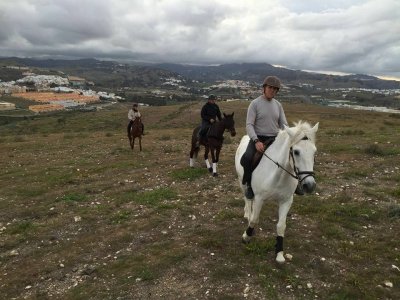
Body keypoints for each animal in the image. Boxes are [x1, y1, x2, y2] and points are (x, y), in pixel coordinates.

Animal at [234, 120, 318, 262]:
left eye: (314, 152)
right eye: (296, 152)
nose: (310, 185)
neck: (278, 175)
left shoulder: (286, 201)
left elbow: (281, 226)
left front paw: (279, 253)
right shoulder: (260, 198)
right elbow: (255, 219)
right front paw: (246, 236)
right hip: (242, 181)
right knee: (247, 198)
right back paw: (247, 213)